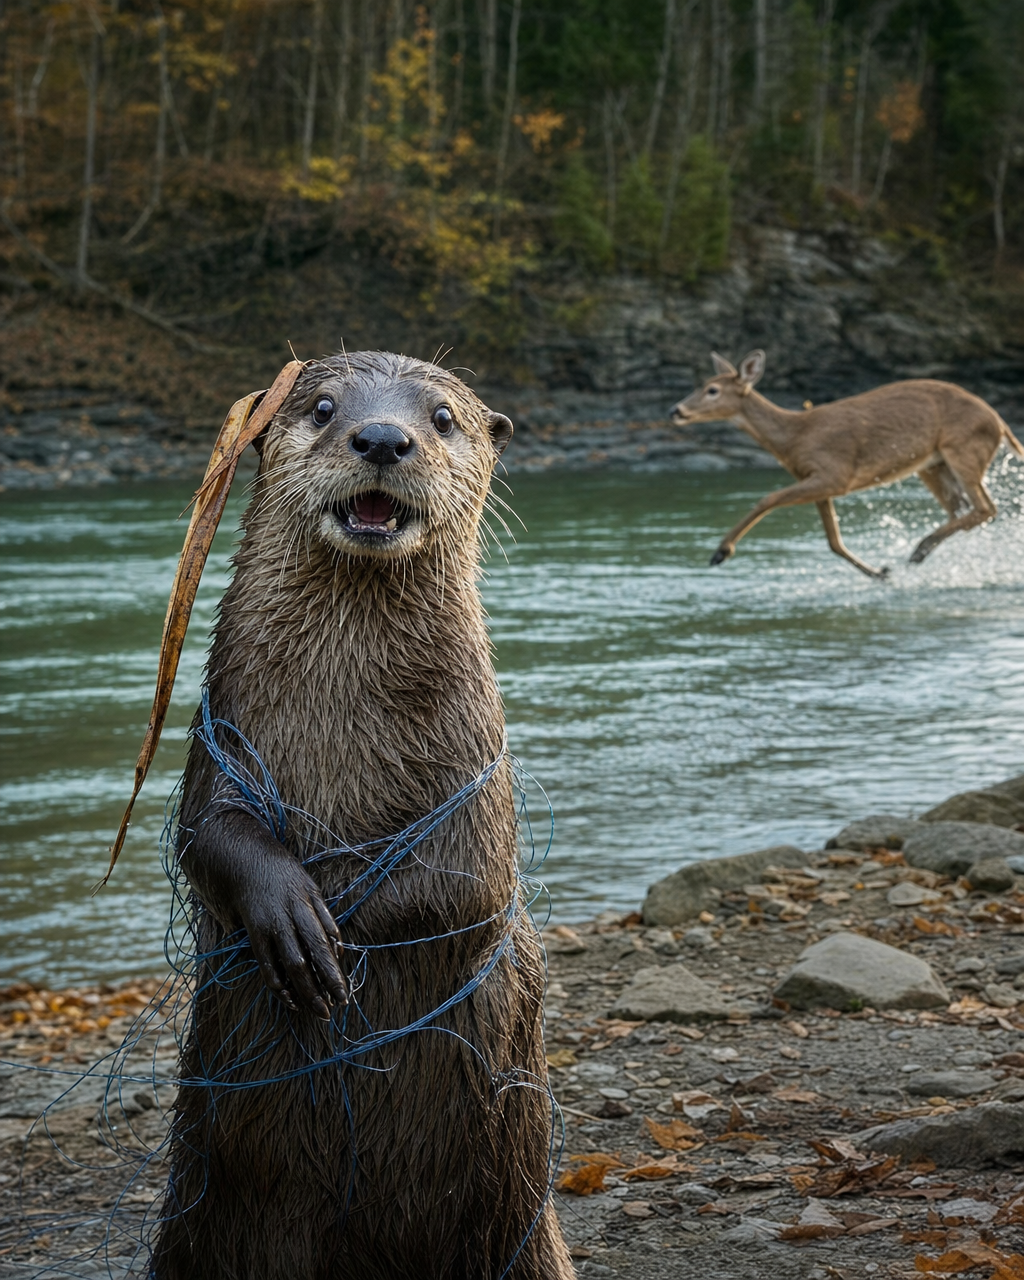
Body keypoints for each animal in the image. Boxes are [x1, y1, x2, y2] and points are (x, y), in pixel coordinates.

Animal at [152, 353, 574, 1280]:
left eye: (444, 416)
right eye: (321, 406)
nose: (383, 437)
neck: (343, 715)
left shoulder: (475, 774)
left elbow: (464, 884)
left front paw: (335, 937)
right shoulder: (220, 738)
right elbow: (206, 835)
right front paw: (293, 917)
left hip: (512, 1221)